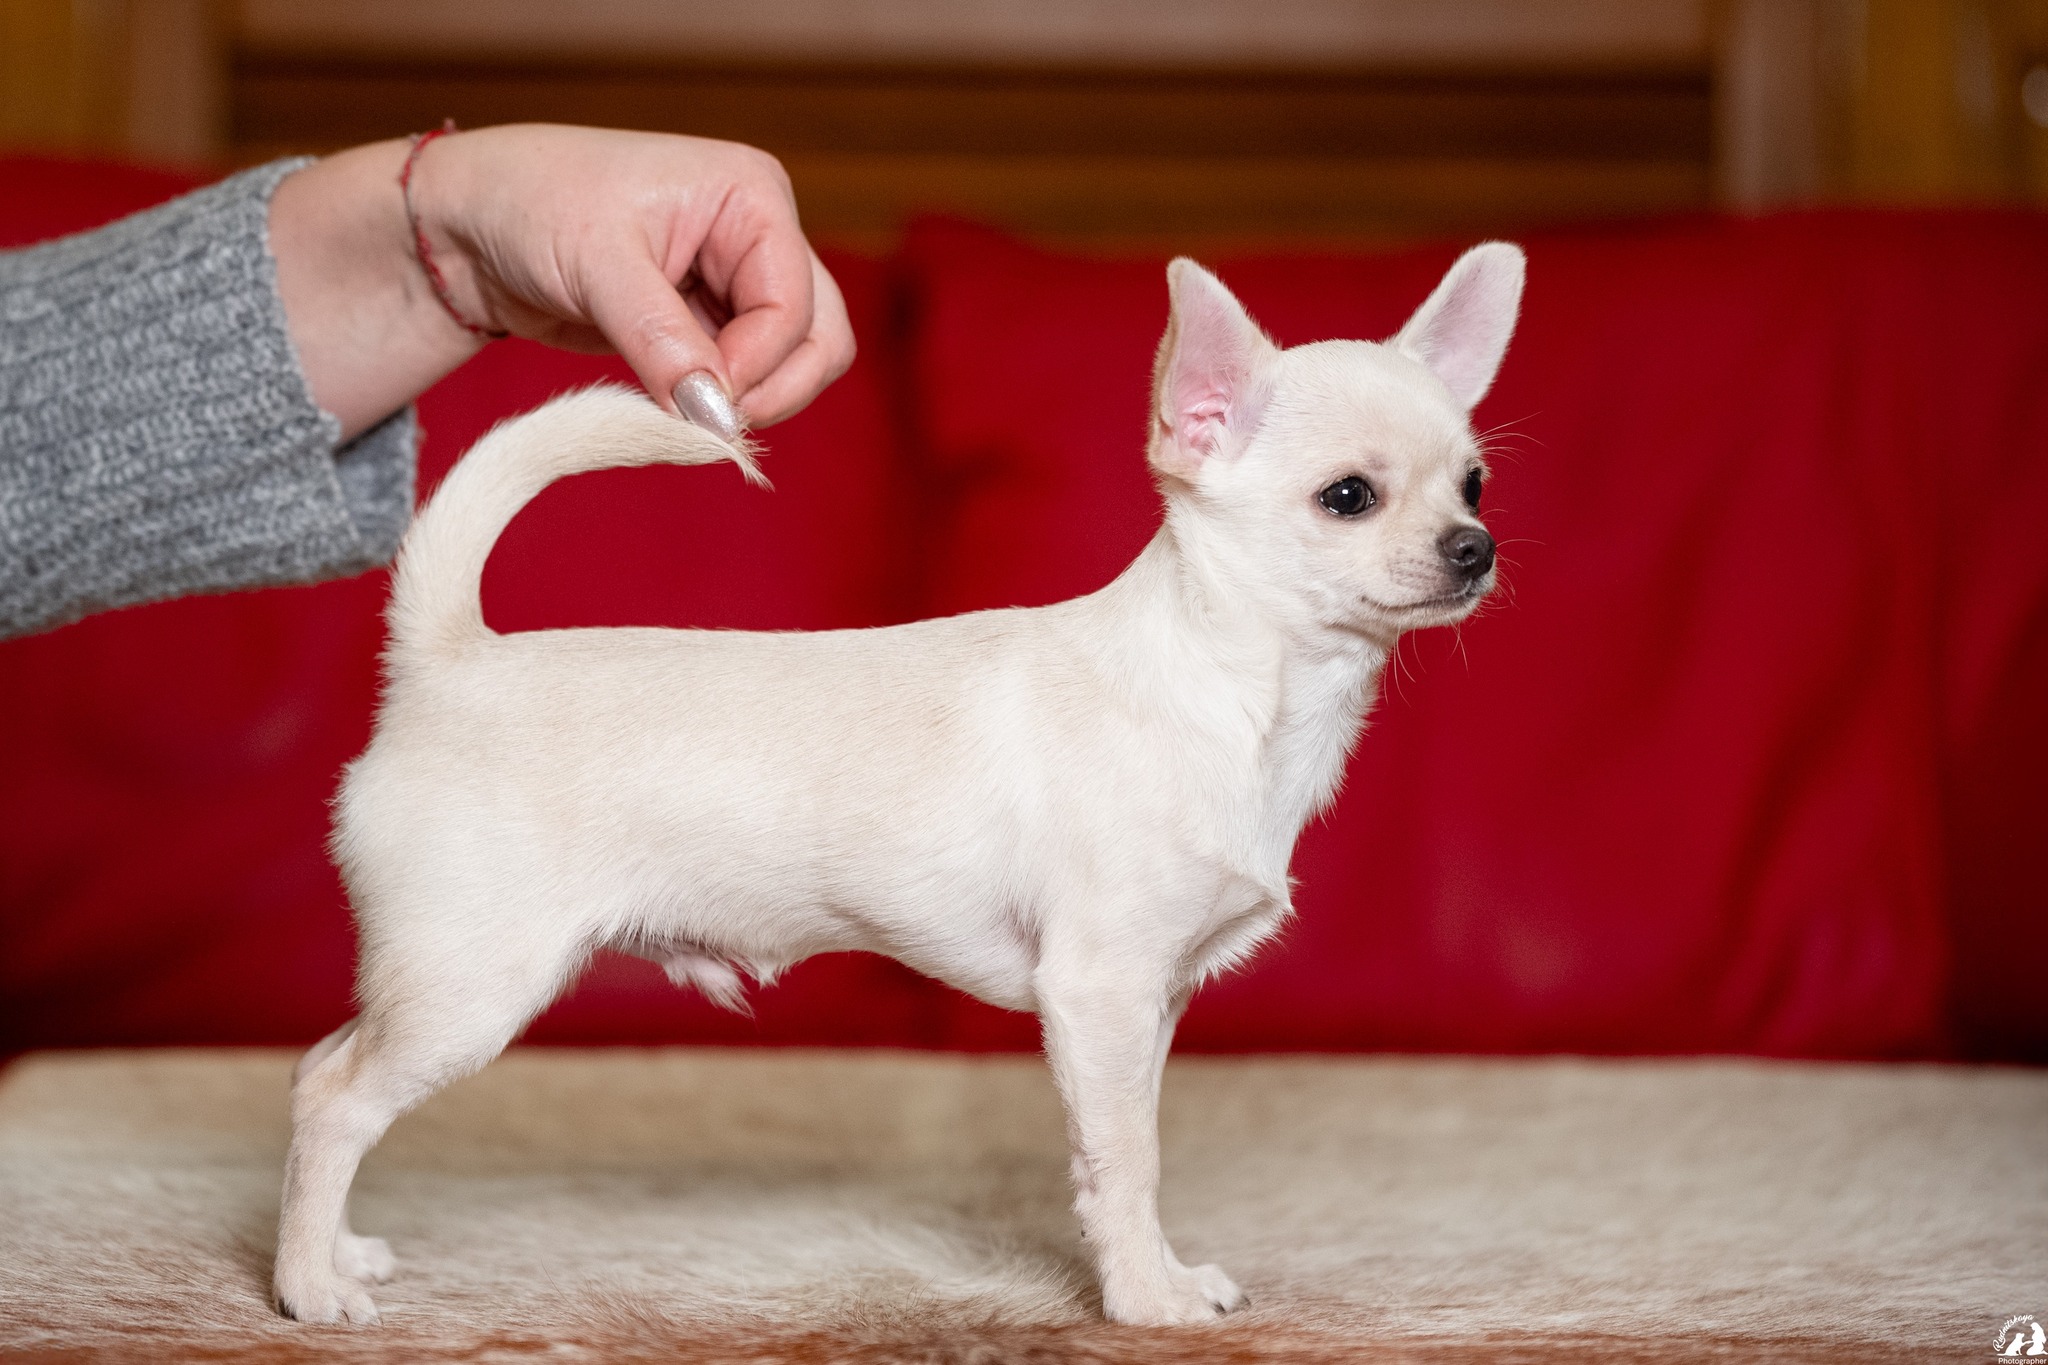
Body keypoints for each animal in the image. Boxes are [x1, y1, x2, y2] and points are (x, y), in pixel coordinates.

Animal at [272, 244, 1525, 1327]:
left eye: (1473, 483)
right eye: (1347, 497)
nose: (1474, 547)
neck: (1239, 693)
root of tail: (445, 658)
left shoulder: (1153, 1005)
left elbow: (1135, 1147)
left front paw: (1165, 1274)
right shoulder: (1100, 994)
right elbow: (1125, 1158)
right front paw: (1142, 1299)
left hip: (430, 982)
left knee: (322, 1066)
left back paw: (336, 1251)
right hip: (471, 984)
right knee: (334, 1100)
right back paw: (307, 1287)